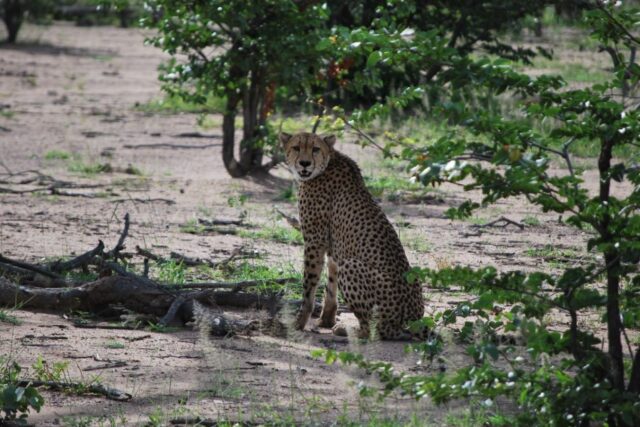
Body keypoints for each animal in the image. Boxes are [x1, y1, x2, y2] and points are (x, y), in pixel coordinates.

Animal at [282, 132, 424, 340]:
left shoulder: (314, 241)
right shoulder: (334, 247)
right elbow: (330, 284)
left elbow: (309, 285)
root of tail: (414, 321)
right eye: (296, 147)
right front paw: (326, 319)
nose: (305, 163)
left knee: (372, 330)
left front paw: (298, 323)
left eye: (315, 149)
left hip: (351, 265)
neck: (328, 161)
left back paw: (349, 330)